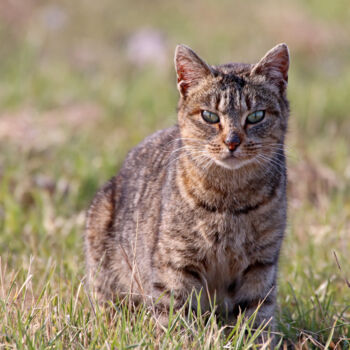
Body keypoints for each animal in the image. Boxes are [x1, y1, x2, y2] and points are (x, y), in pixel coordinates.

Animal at [85, 43, 290, 336]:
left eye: (256, 116)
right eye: (210, 116)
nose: (232, 142)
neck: (230, 198)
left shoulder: (261, 263)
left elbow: (256, 315)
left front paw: (253, 339)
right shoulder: (176, 261)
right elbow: (175, 313)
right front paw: (179, 339)